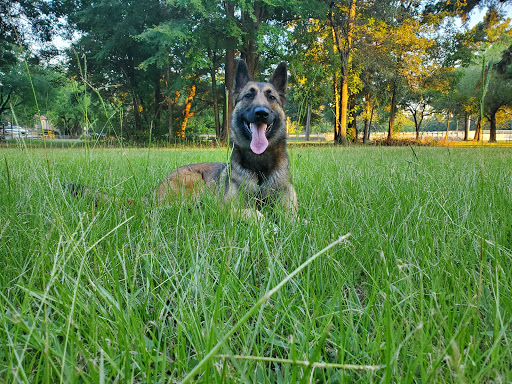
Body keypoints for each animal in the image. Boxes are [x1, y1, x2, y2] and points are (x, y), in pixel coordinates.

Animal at [70, 60, 298, 219]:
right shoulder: (228, 208)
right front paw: (267, 223)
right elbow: (254, 214)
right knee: (165, 208)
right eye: (248, 96)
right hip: (193, 180)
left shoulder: (290, 207)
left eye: (271, 97)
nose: (261, 113)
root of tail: (154, 191)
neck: (260, 167)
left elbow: (295, 219)